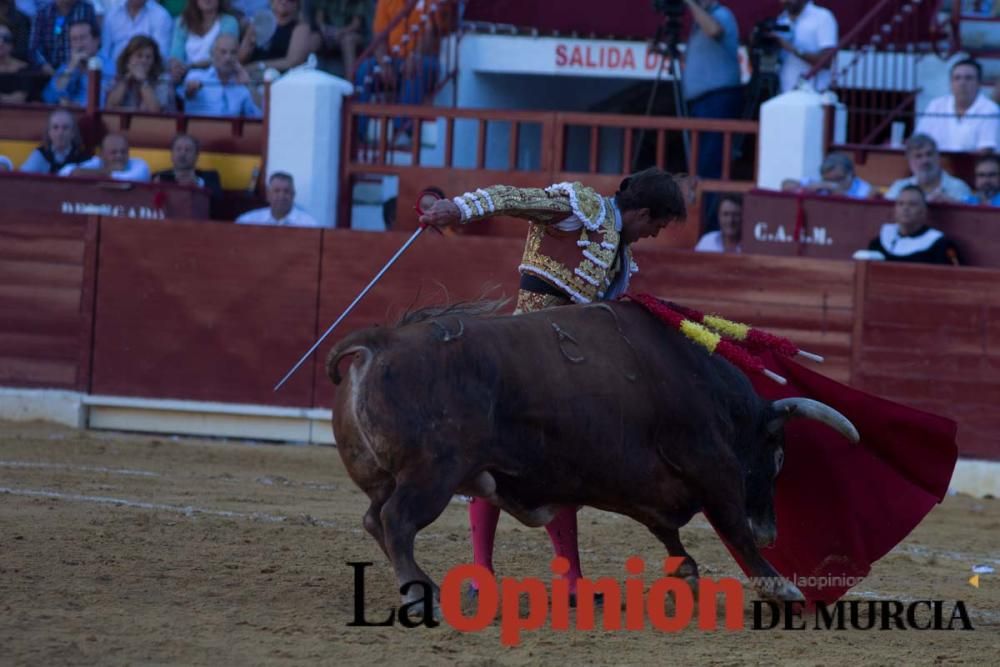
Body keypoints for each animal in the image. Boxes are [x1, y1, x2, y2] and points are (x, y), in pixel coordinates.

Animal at [324, 300, 856, 608]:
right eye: (778, 456)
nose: (773, 532)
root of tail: (380, 341)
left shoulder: (648, 488)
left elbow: (667, 531)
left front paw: (685, 571)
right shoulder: (714, 466)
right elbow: (732, 529)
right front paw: (782, 586)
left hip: (386, 477)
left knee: (374, 519)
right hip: (431, 476)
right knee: (397, 522)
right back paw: (422, 595)